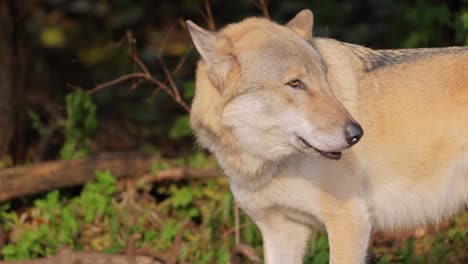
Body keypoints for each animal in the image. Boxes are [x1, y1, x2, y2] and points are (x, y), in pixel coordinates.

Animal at [186, 9, 468, 262]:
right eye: (295, 84)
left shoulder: (350, 221)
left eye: (325, 79)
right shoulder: (281, 231)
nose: (357, 134)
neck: (269, 164)